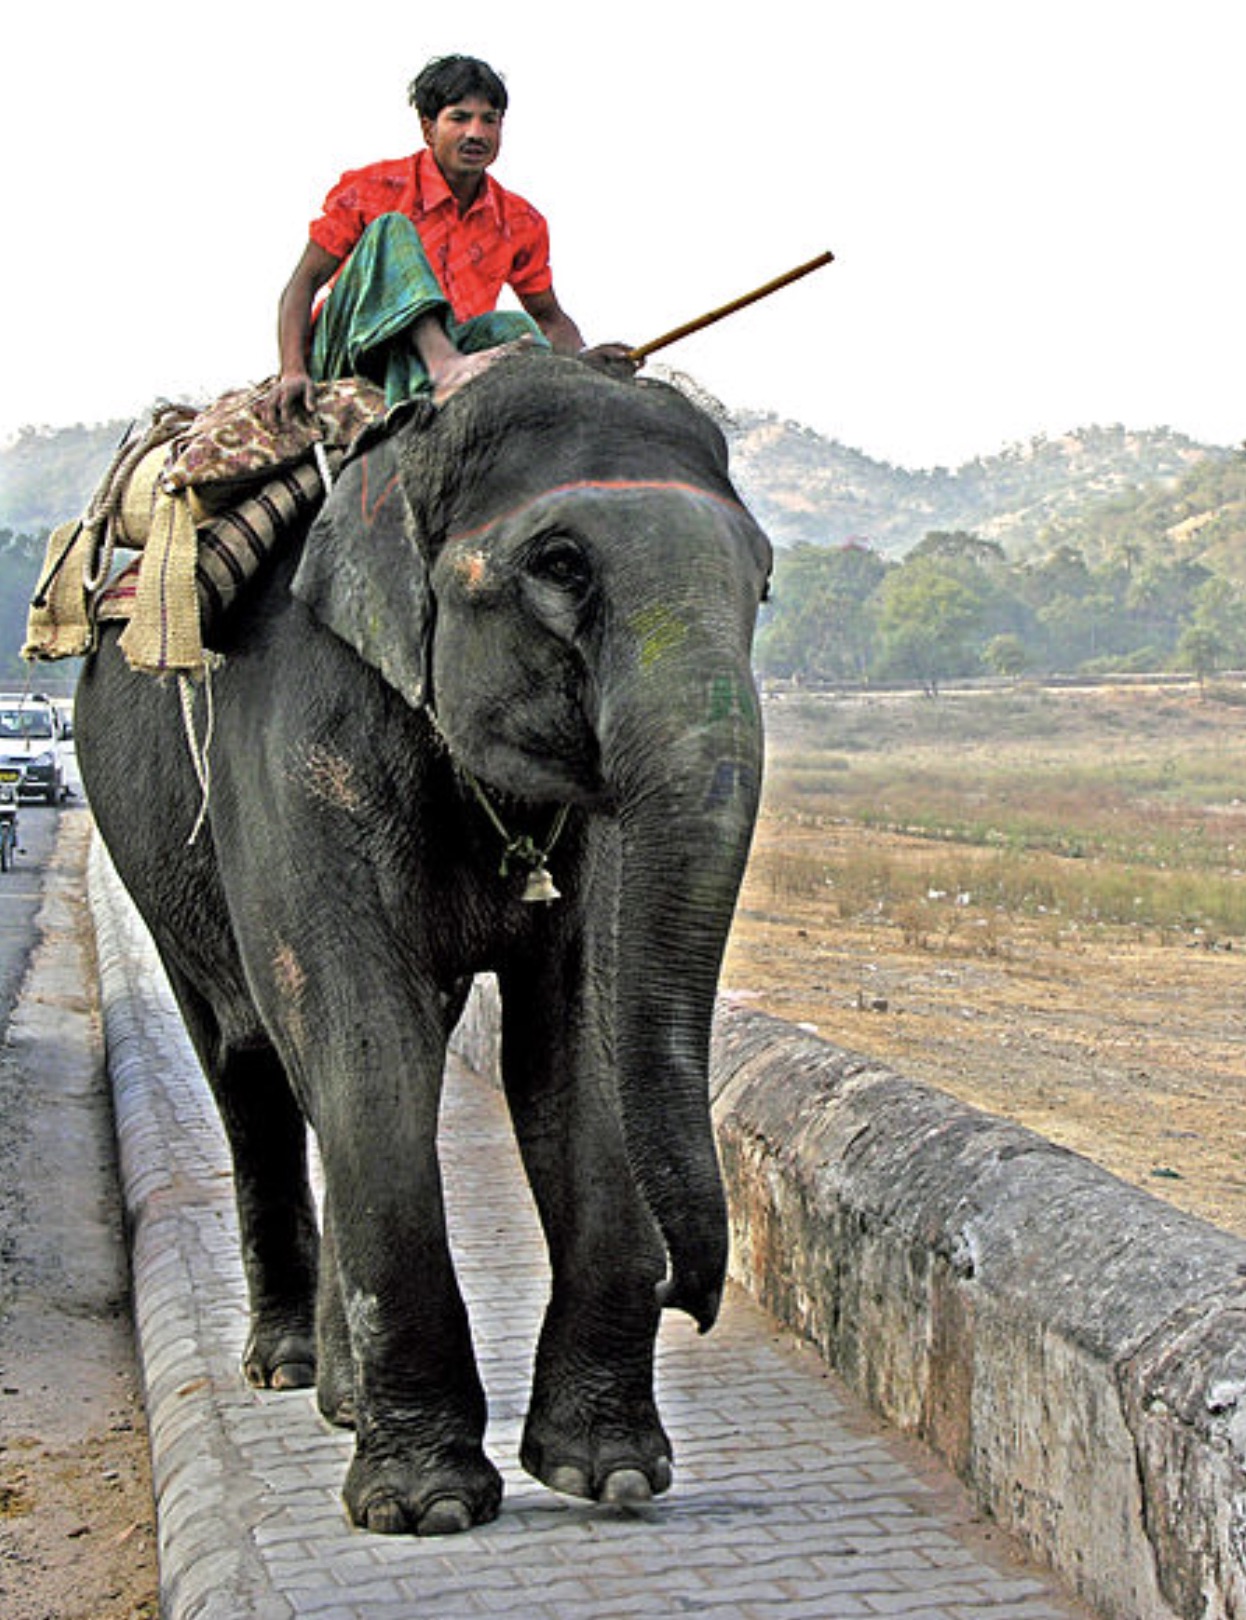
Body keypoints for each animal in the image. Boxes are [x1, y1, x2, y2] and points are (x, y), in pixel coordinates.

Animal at [75, 351, 768, 1529]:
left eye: (762, 581)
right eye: (561, 563)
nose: (688, 1291)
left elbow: (574, 1040)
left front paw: (609, 1474)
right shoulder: (300, 743)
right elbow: (365, 1039)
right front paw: (426, 1506)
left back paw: (342, 1398)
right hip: (152, 859)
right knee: (250, 1063)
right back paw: (291, 1370)